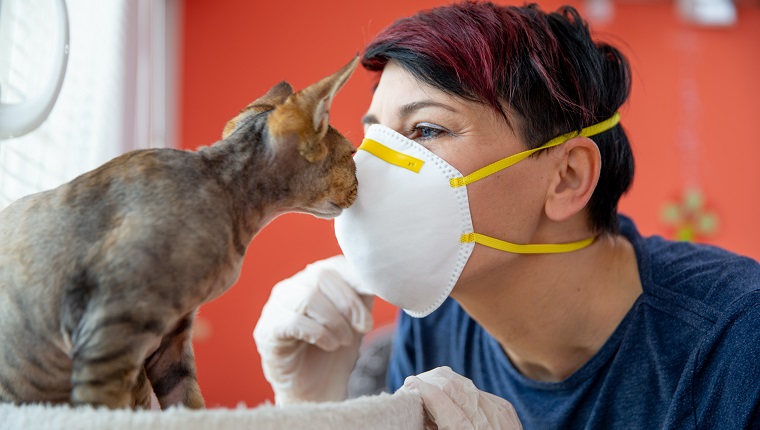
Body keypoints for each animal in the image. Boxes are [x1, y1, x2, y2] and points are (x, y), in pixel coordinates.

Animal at [0, 55, 360, 408]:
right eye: (353, 155)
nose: (360, 184)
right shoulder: (111, 332)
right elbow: (108, 407)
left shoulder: (172, 338)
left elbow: (187, 402)